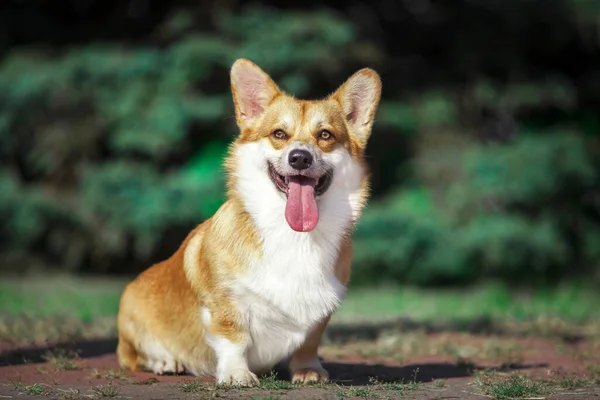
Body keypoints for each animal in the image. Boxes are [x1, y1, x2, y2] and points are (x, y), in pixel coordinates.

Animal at [116, 57, 380, 386]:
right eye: (279, 134)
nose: (300, 158)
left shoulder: (321, 310)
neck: (294, 235)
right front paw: (236, 374)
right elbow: (233, 338)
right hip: (132, 317)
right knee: (136, 356)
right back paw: (166, 361)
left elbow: (309, 342)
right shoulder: (226, 303)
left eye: (325, 135)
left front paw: (309, 370)